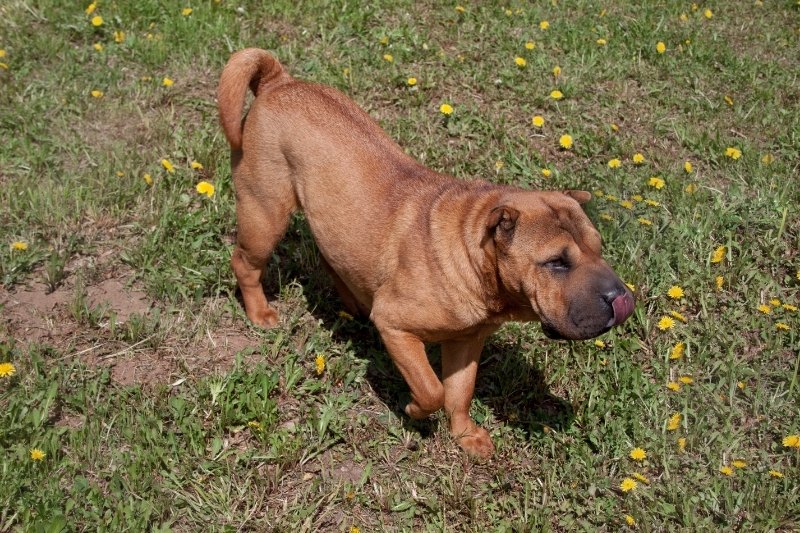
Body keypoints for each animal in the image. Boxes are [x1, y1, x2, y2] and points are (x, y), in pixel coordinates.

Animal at [216, 48, 636, 458]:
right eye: (557, 263)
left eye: (599, 249)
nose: (622, 298)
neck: (471, 253)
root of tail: (278, 82)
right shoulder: (396, 326)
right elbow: (432, 388)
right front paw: (415, 410)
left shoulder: (467, 341)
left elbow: (459, 392)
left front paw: (465, 435)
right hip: (265, 213)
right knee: (245, 263)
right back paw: (260, 313)